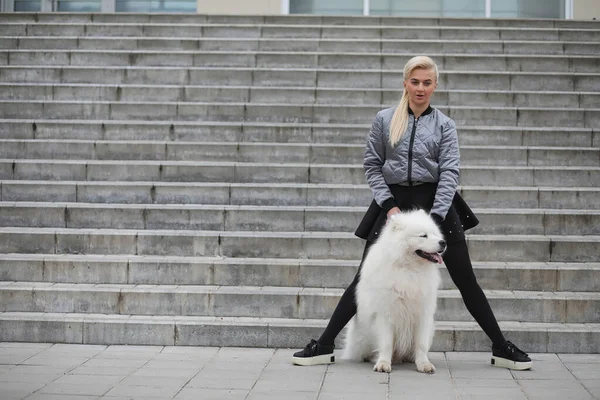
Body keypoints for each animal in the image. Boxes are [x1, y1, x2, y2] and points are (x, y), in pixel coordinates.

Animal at [342, 211, 446, 374]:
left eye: (435, 234)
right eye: (423, 235)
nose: (443, 242)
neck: (409, 270)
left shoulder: (423, 314)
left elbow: (421, 344)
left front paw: (424, 364)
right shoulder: (385, 314)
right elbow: (386, 343)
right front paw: (383, 364)